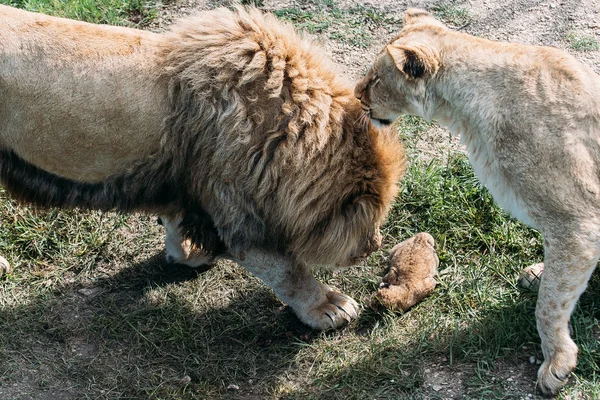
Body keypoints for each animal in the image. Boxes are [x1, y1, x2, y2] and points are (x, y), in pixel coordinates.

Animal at [1, 6, 408, 330]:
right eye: (368, 218)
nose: (374, 247)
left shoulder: (187, 183)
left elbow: (174, 222)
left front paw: (187, 254)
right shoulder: (240, 212)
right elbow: (289, 271)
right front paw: (327, 307)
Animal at [354, 7, 600, 396]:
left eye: (377, 79)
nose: (355, 95)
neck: (468, 114)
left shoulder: (578, 222)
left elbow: (549, 303)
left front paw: (557, 362)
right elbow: (554, 277)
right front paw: (541, 273)